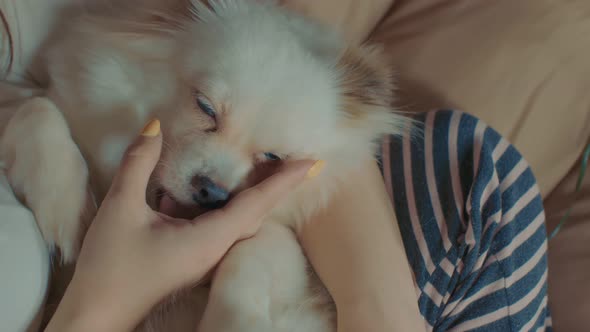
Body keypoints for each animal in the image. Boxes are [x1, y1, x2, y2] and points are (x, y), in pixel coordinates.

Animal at [0, 1, 410, 330]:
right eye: (205, 107)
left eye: (273, 158)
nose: (212, 192)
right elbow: (37, 107)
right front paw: (64, 203)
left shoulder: (282, 247)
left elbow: (263, 244)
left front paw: (234, 321)